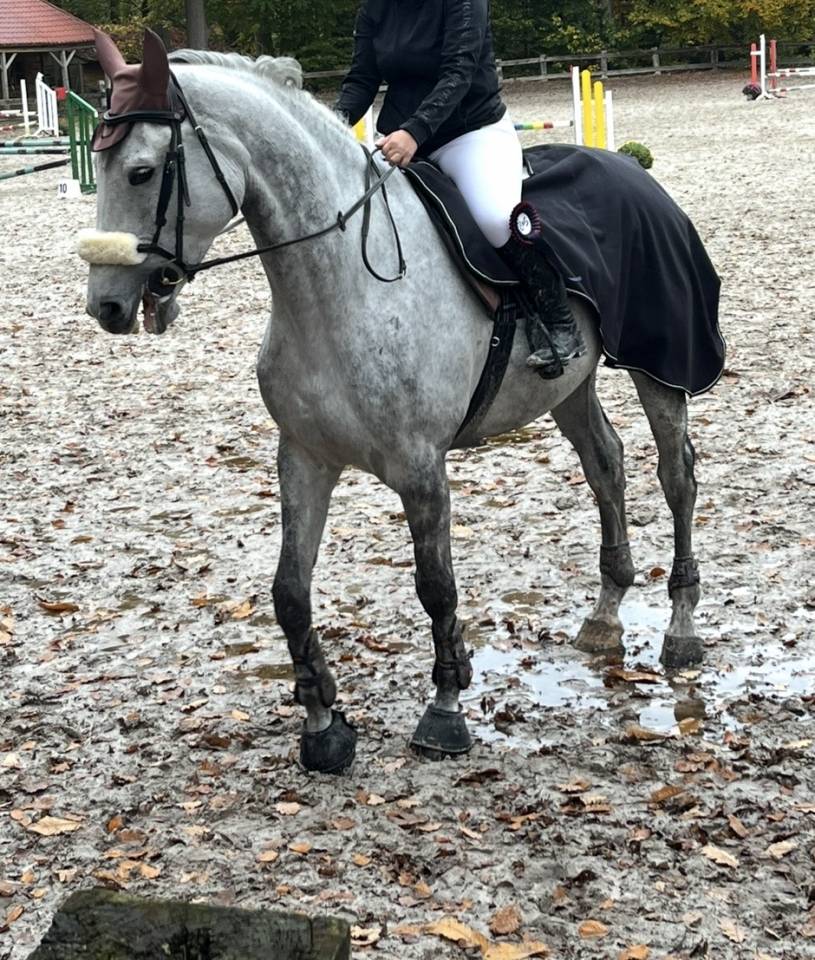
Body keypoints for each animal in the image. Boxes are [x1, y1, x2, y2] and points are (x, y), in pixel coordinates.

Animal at [81, 31, 712, 773]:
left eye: (142, 173)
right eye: (99, 168)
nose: (107, 307)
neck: (337, 285)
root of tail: (631, 170)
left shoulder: (419, 467)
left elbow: (434, 585)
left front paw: (445, 709)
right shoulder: (303, 458)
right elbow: (289, 592)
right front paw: (323, 722)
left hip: (660, 368)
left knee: (675, 476)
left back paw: (681, 629)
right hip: (570, 386)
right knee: (605, 465)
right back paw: (605, 615)